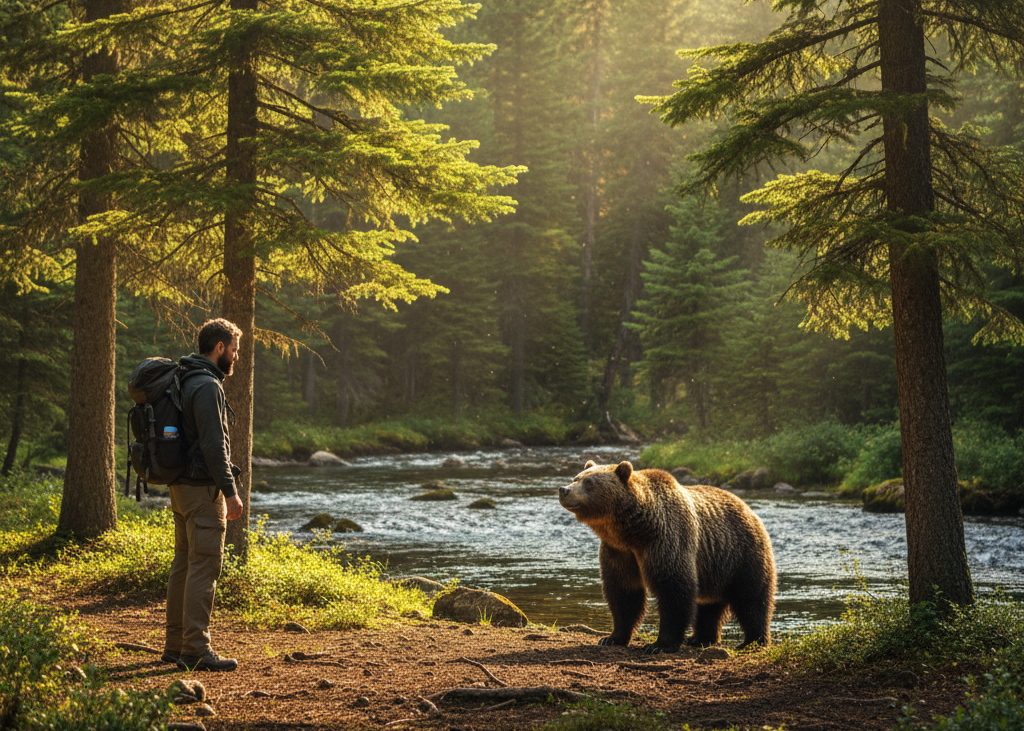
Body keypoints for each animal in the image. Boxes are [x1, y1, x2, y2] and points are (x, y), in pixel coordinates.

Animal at [559, 460, 775, 653]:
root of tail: (748, 509)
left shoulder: (667, 540)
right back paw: (700, 639)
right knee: (709, 605)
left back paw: (752, 642)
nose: (563, 489)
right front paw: (611, 638)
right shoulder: (618, 552)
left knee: (752, 599)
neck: (634, 532)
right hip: (716, 565)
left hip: (743, 554)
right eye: (576, 478)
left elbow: (673, 588)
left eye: (589, 482)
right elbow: (623, 592)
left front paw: (658, 645)